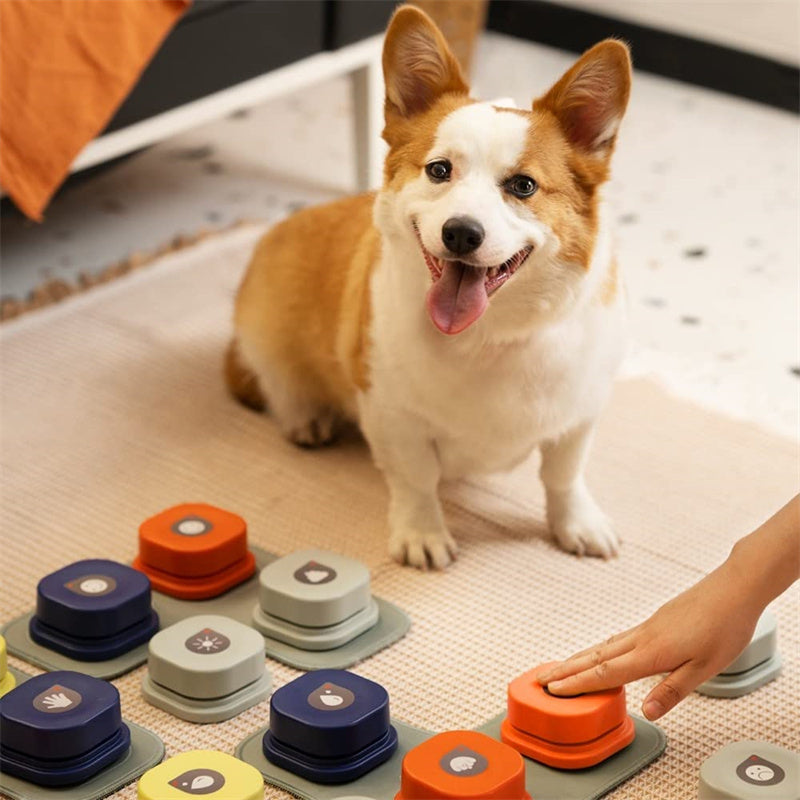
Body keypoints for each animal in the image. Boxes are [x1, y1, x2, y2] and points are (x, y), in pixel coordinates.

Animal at [225, 4, 632, 568]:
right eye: (439, 170)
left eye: (523, 186)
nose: (461, 232)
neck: (488, 336)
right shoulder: (393, 416)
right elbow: (416, 480)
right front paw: (422, 534)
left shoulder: (579, 416)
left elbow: (563, 476)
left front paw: (577, 524)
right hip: (266, 332)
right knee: (277, 382)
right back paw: (306, 418)